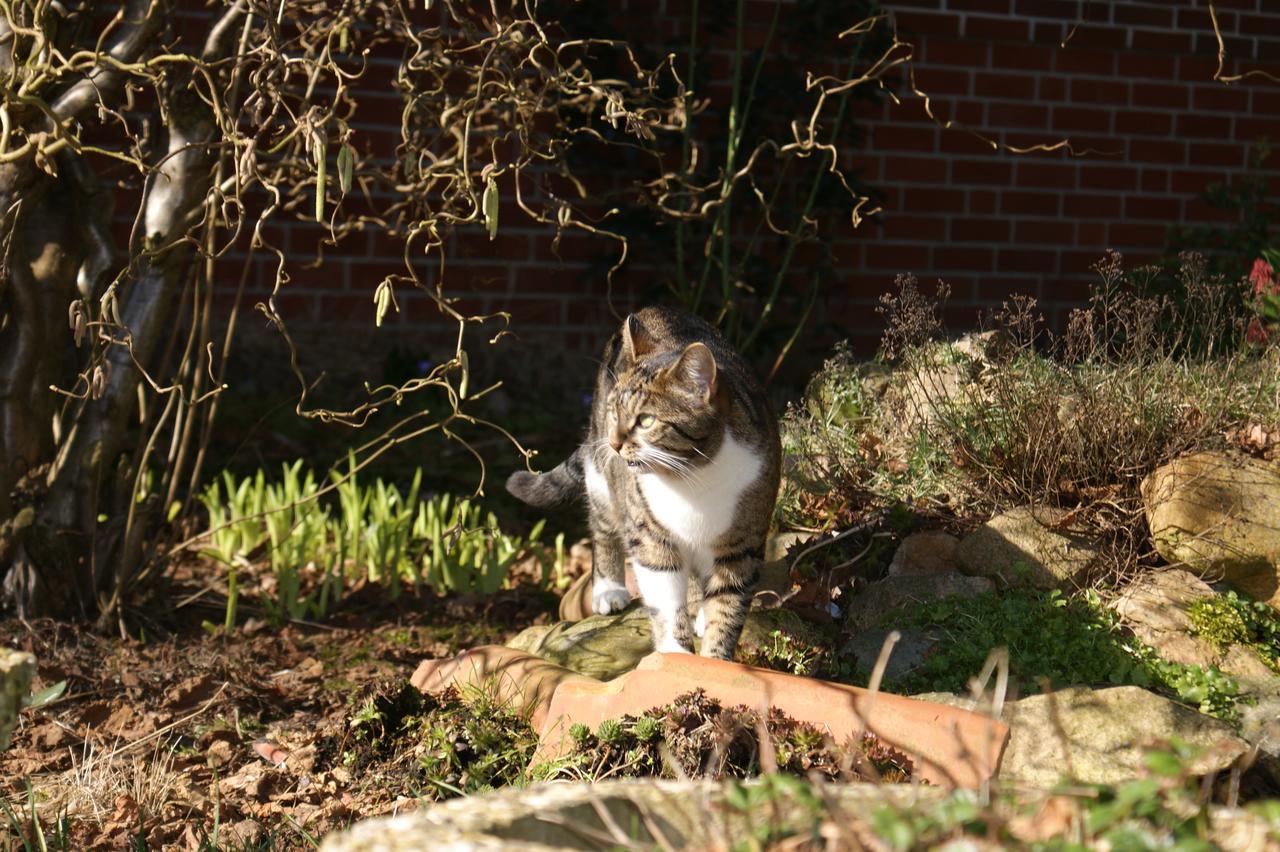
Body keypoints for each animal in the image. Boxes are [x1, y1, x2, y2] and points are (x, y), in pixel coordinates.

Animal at [504, 305, 773, 654]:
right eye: (614, 412)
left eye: (646, 421)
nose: (614, 443)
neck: (694, 476)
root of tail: (656, 307)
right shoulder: (649, 534)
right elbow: (666, 600)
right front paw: (674, 655)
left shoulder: (743, 543)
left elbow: (727, 609)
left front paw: (714, 657)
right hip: (601, 478)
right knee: (602, 525)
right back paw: (609, 590)